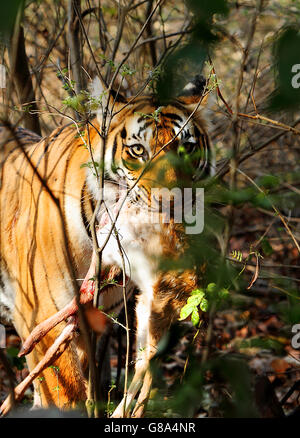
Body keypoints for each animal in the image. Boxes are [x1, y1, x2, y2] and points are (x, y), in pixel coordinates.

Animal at [0, 76, 212, 418]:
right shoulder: (40, 308)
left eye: (187, 147)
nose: (173, 203)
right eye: (137, 150)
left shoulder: (93, 320)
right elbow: (65, 392)